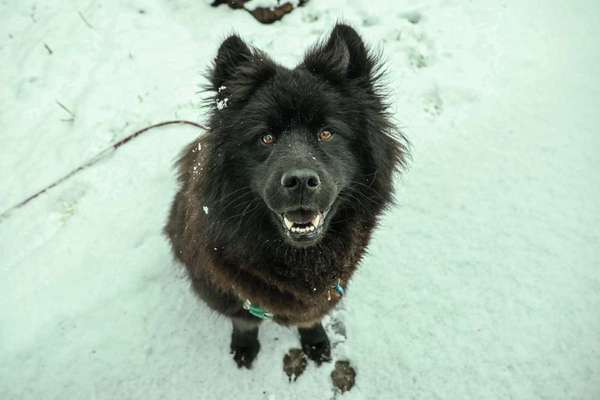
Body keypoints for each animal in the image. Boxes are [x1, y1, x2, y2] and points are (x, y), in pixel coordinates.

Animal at [165, 23, 408, 368]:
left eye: (327, 133)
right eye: (266, 138)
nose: (301, 180)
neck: (300, 259)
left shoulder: (325, 295)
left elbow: (309, 320)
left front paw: (316, 341)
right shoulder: (225, 291)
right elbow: (244, 321)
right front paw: (244, 347)